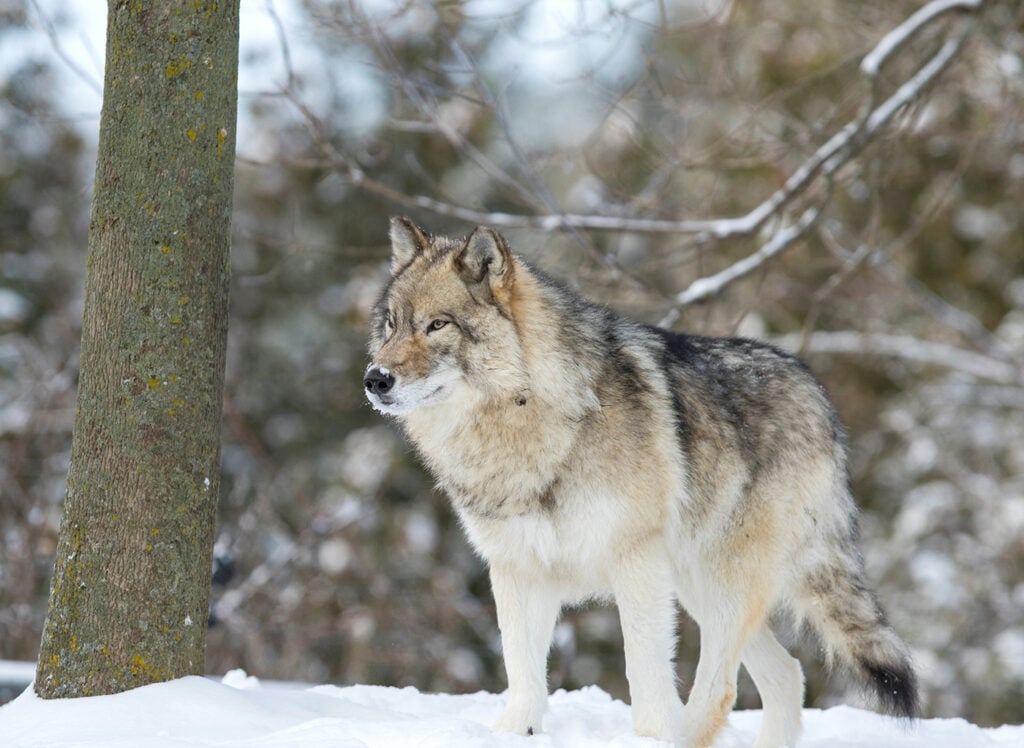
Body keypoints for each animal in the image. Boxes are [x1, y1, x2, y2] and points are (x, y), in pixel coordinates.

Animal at [363, 217, 918, 747]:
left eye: (437, 324)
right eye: (390, 324)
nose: (375, 379)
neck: (531, 425)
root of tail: (817, 393)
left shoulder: (635, 562)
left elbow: (644, 672)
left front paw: (648, 737)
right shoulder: (517, 569)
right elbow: (523, 675)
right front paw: (511, 735)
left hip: (721, 582)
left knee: (722, 687)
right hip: (699, 586)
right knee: (786, 674)